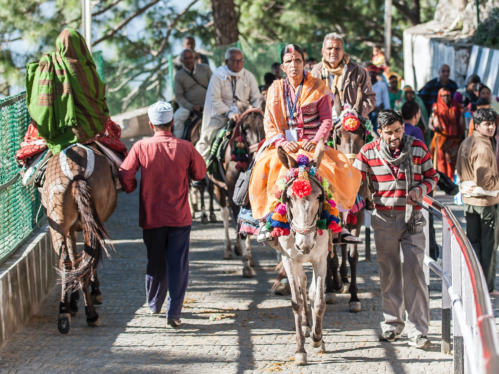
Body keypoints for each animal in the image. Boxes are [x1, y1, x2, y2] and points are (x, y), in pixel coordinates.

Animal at [41, 142, 117, 334]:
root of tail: (76, 171)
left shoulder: (70, 229)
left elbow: (75, 261)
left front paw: (73, 302)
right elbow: (84, 261)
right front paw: (92, 292)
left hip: (58, 224)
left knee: (65, 262)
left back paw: (64, 313)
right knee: (82, 261)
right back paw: (90, 314)